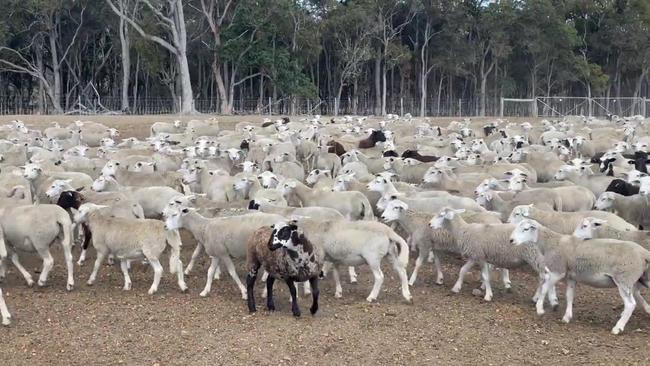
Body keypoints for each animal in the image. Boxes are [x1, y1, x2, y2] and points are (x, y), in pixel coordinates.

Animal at [508, 217, 648, 334]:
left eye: (526, 229)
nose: (511, 240)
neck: (551, 242)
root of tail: (644, 253)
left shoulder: (557, 271)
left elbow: (544, 289)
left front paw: (539, 309)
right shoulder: (571, 277)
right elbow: (569, 296)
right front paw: (566, 317)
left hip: (624, 279)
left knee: (630, 304)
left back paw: (618, 328)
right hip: (638, 279)